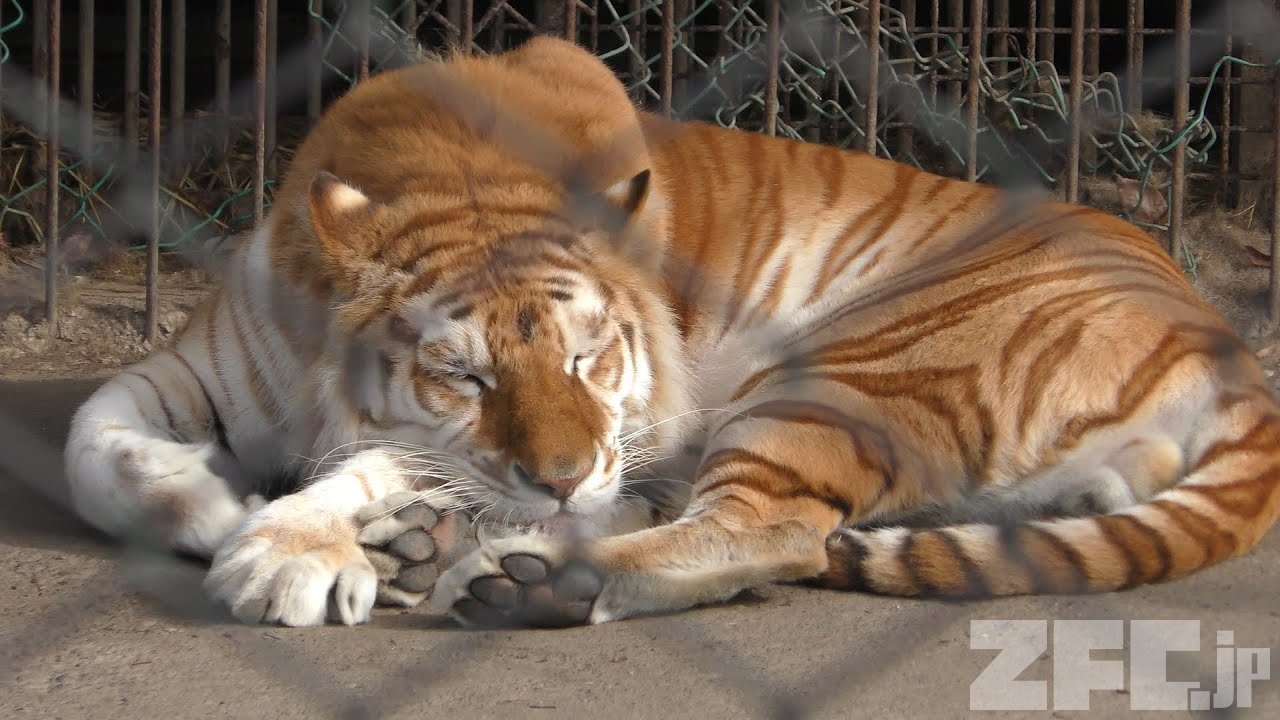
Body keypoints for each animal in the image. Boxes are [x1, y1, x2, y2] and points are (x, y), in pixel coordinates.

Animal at [62, 36, 1280, 625]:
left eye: (589, 357)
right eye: (464, 375)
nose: (563, 476)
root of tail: (1220, 339)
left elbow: (373, 462)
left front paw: (287, 550)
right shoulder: (197, 367)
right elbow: (91, 445)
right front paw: (215, 505)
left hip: (853, 366)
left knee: (768, 530)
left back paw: (522, 576)